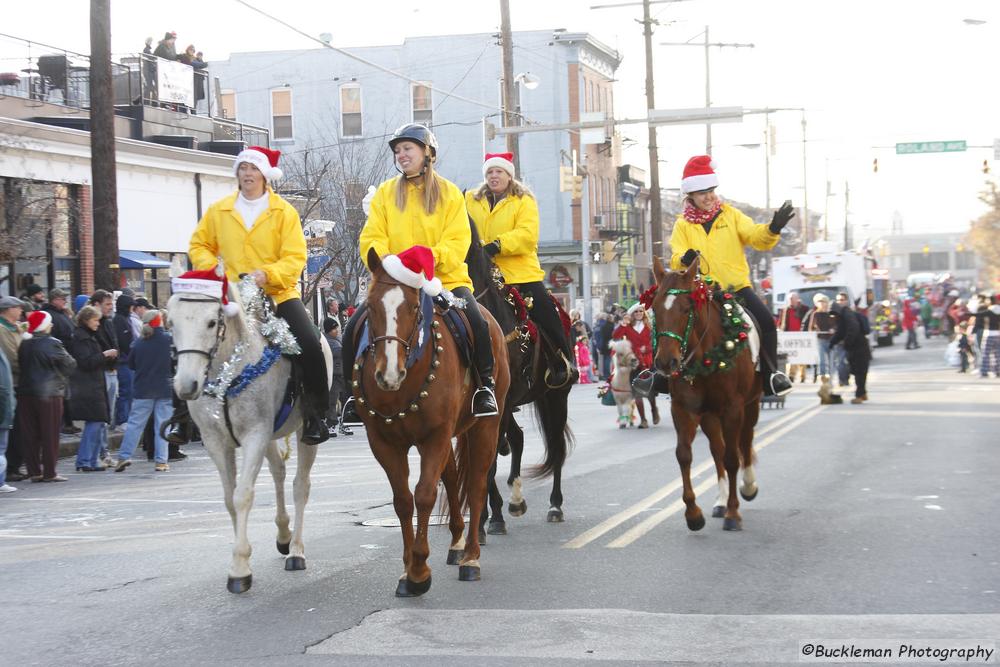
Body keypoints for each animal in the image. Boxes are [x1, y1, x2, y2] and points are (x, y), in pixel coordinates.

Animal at [166, 268, 332, 592]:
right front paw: (241, 560)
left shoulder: (254, 435)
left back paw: (296, 551)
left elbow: (242, 495)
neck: (230, 369)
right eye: (171, 321)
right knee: (279, 472)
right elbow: (229, 499)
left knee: (300, 485)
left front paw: (240, 569)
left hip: (303, 433)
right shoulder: (217, 442)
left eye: (211, 321)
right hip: (270, 435)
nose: (187, 385)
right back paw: (283, 535)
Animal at [352, 249, 508, 596]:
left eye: (412, 307)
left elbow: (424, 494)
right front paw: (408, 568)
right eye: (371, 306)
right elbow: (402, 501)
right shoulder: (384, 443)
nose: (389, 374)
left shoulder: (434, 436)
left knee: (476, 485)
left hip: (486, 426)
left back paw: (471, 557)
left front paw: (420, 570)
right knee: (450, 478)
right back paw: (457, 543)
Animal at [466, 224, 576, 532]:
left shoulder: (500, 403)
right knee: (517, 438)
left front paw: (489, 518)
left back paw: (554, 506)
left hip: (556, 397)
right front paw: (489, 515)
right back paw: (513, 502)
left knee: (556, 447)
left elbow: (490, 458)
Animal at [652, 256, 760, 532]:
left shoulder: (734, 408)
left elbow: (733, 458)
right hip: (710, 415)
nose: (666, 362)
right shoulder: (683, 409)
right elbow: (684, 455)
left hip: (750, 404)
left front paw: (733, 513)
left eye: (686, 308)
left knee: (745, 441)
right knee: (717, 450)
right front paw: (693, 514)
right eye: (655, 308)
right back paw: (720, 502)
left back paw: (748, 486)